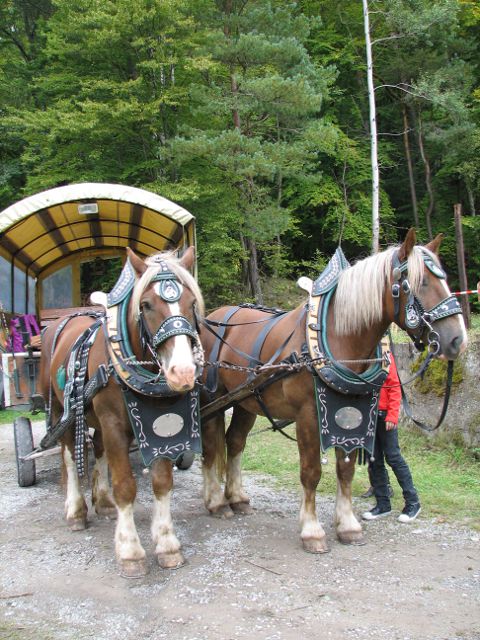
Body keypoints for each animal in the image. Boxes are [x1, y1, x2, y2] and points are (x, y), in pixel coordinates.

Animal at [41, 248, 204, 576]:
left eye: (192, 302)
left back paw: (103, 502)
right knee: (69, 454)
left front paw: (167, 544)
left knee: (99, 449)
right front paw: (130, 550)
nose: (182, 373)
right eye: (146, 304)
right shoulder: (114, 423)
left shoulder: (159, 430)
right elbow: (126, 486)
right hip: (62, 412)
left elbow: (162, 483)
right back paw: (76, 510)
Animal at [201, 232, 466, 552]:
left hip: (245, 401)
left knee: (235, 441)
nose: (457, 339)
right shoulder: (308, 416)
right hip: (213, 397)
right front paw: (312, 530)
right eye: (420, 282)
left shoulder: (350, 414)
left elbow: (346, 470)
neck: (339, 338)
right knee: (211, 445)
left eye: (445, 280)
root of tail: (212, 315)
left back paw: (237, 498)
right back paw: (216, 502)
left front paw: (348, 525)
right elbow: (311, 472)